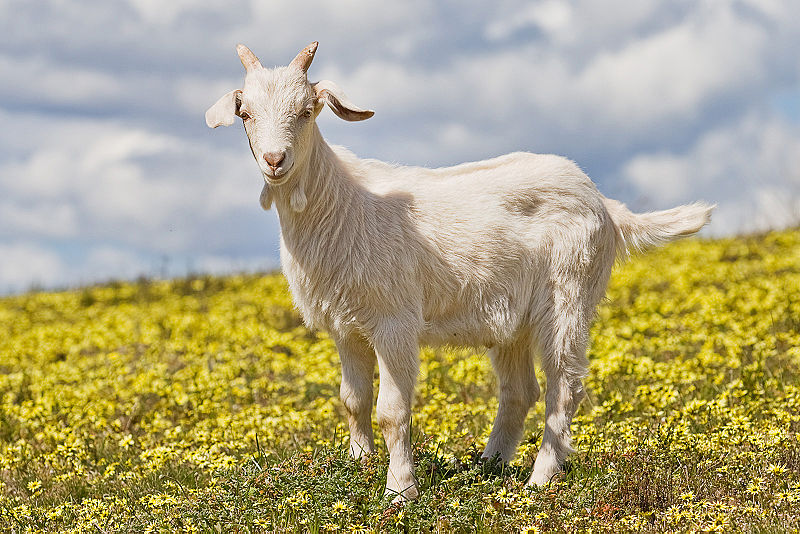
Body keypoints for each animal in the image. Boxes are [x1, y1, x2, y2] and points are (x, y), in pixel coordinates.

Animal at [205, 42, 712, 502]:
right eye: (245, 113)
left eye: (308, 111)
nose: (275, 161)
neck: (343, 204)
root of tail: (605, 205)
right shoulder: (345, 327)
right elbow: (353, 401)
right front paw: (359, 467)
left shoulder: (394, 321)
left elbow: (392, 410)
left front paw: (400, 491)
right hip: (512, 321)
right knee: (519, 391)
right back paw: (489, 467)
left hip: (569, 295)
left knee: (565, 387)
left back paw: (540, 479)